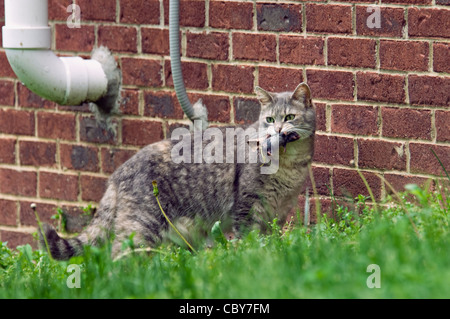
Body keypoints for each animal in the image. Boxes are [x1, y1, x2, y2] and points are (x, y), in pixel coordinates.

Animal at [39, 82, 316, 260]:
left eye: (289, 117)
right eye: (269, 120)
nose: (277, 130)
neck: (288, 165)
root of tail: (119, 172)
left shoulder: (277, 212)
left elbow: (270, 241)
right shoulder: (248, 208)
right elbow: (250, 241)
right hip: (142, 224)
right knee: (119, 257)